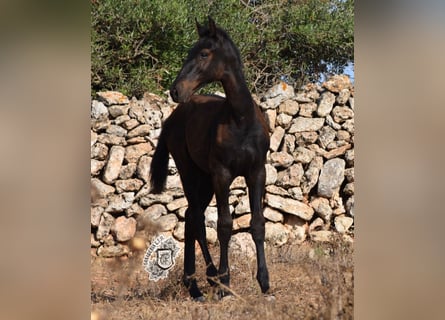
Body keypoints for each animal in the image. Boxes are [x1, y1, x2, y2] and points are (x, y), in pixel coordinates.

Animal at [149, 16, 268, 298]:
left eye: (203, 53)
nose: (176, 91)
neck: (241, 120)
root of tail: (172, 118)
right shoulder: (222, 175)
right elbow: (224, 225)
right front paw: (225, 282)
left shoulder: (257, 172)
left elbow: (258, 223)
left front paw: (264, 281)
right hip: (190, 172)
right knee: (196, 218)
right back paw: (208, 278)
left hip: (204, 179)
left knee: (191, 217)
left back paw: (194, 285)